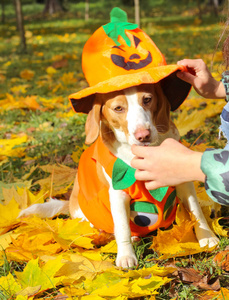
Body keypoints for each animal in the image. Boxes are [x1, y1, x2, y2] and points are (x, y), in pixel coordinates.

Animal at [19, 83, 218, 268]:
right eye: (118, 108)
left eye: (147, 99)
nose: (143, 135)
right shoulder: (118, 194)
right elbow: (122, 227)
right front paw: (126, 256)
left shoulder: (184, 183)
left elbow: (196, 211)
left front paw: (206, 236)